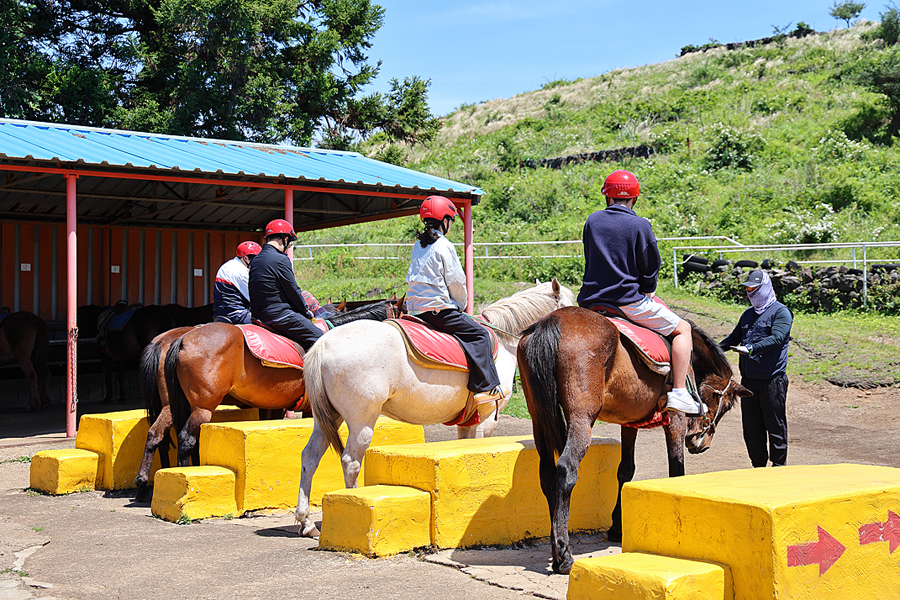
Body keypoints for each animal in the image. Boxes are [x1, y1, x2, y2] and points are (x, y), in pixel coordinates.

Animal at [296, 276, 576, 536]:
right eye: (569, 305)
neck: (503, 337)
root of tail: (323, 345)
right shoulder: (486, 419)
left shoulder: (468, 422)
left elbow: (465, 450)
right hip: (361, 420)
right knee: (350, 462)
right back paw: (354, 501)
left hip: (328, 418)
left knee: (309, 457)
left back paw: (307, 522)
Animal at [516, 308, 748, 576]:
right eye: (727, 405)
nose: (701, 443)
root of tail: (551, 320)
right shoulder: (676, 419)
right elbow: (676, 469)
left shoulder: (628, 422)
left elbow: (625, 470)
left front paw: (617, 528)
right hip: (581, 418)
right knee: (566, 469)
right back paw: (563, 554)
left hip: (539, 419)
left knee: (547, 473)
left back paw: (556, 547)